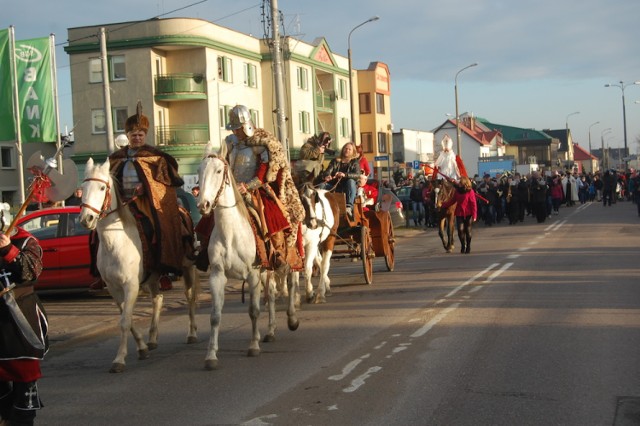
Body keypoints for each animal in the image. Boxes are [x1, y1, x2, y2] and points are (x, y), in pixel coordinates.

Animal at [80, 159, 200, 372]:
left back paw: (191, 334)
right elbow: (125, 318)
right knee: (158, 299)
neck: (116, 242)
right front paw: (142, 347)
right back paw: (152, 338)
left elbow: (125, 321)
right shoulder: (114, 287)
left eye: (102, 187)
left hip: (187, 268)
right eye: (83, 188)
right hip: (153, 276)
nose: (87, 219)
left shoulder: (131, 285)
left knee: (190, 297)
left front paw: (119, 359)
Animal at [198, 142, 300, 370]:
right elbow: (215, 316)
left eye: (219, 171)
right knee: (272, 295)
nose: (203, 205)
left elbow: (253, 310)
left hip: (286, 260)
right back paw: (270, 331)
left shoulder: (253, 274)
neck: (231, 233)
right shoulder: (217, 275)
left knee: (290, 283)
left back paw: (292, 319)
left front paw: (253, 346)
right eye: (199, 172)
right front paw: (210, 356)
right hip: (266, 272)